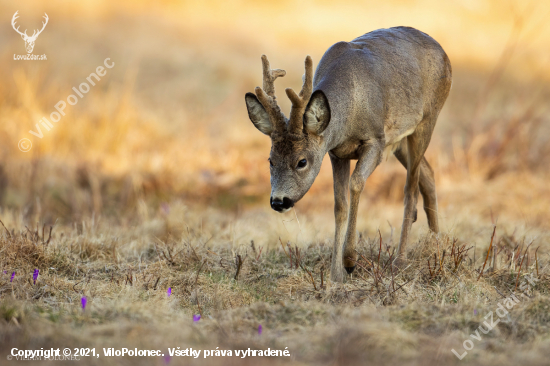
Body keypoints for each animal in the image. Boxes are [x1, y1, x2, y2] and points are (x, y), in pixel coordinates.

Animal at [246, 26, 452, 284]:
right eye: (271, 160)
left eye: (302, 161)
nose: (278, 201)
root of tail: (444, 53)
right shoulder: (336, 153)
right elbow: (339, 205)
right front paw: (336, 275)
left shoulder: (376, 141)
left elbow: (356, 184)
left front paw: (350, 260)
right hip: (401, 142)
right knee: (428, 174)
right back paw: (436, 249)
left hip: (427, 120)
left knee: (411, 188)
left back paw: (400, 261)